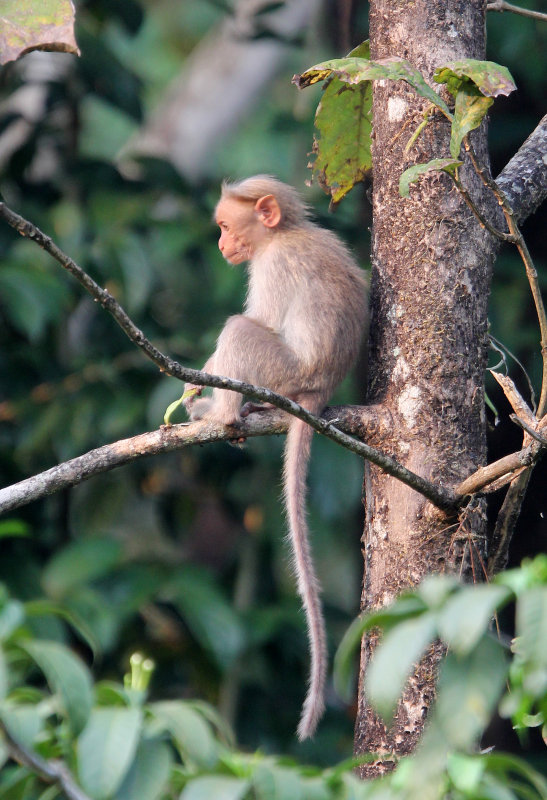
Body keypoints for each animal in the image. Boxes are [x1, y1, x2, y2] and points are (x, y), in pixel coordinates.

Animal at [186, 173, 370, 736]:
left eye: (226, 226)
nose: (221, 244)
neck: (282, 233)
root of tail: (317, 390)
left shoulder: (272, 267)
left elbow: (258, 318)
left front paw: (200, 389)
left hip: (283, 373)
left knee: (241, 330)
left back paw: (222, 415)